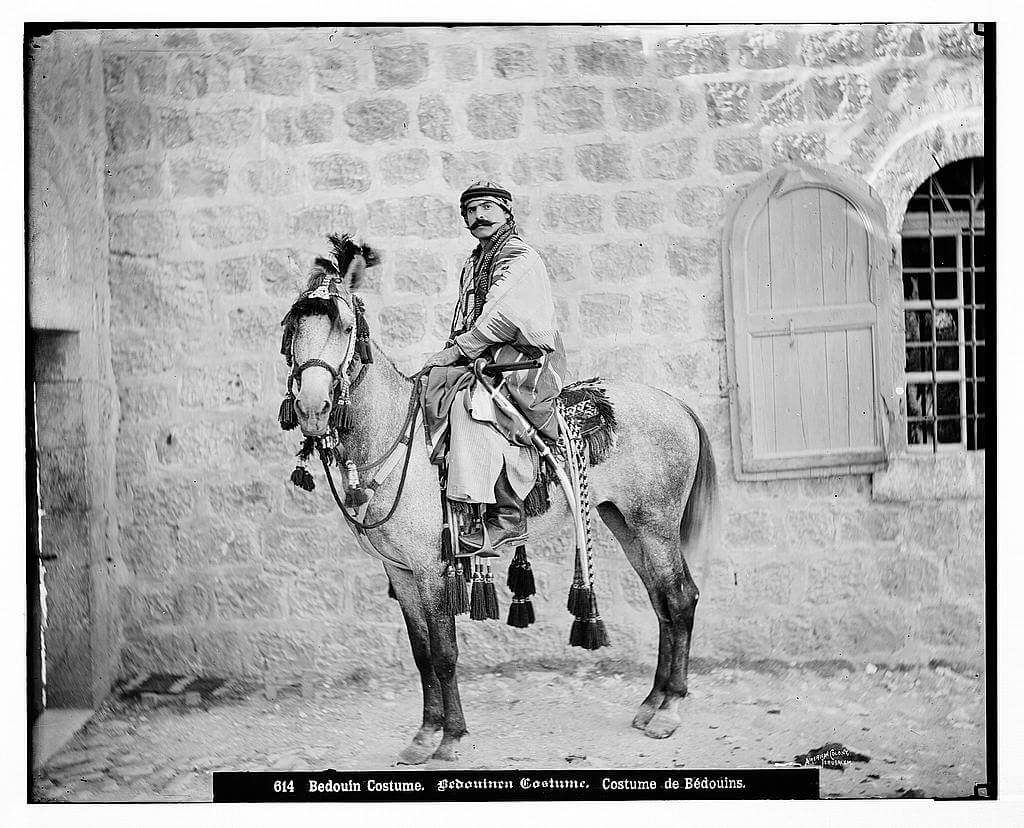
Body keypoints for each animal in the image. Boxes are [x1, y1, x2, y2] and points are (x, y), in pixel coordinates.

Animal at [282, 235, 720, 765]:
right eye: (292, 328)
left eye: (345, 326)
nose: (312, 408)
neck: (397, 437)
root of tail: (676, 404)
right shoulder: (401, 572)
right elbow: (421, 652)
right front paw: (424, 735)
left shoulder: (431, 570)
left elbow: (445, 653)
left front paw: (451, 737)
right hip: (626, 524)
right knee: (662, 601)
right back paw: (652, 701)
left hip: (655, 526)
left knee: (680, 597)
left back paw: (670, 708)